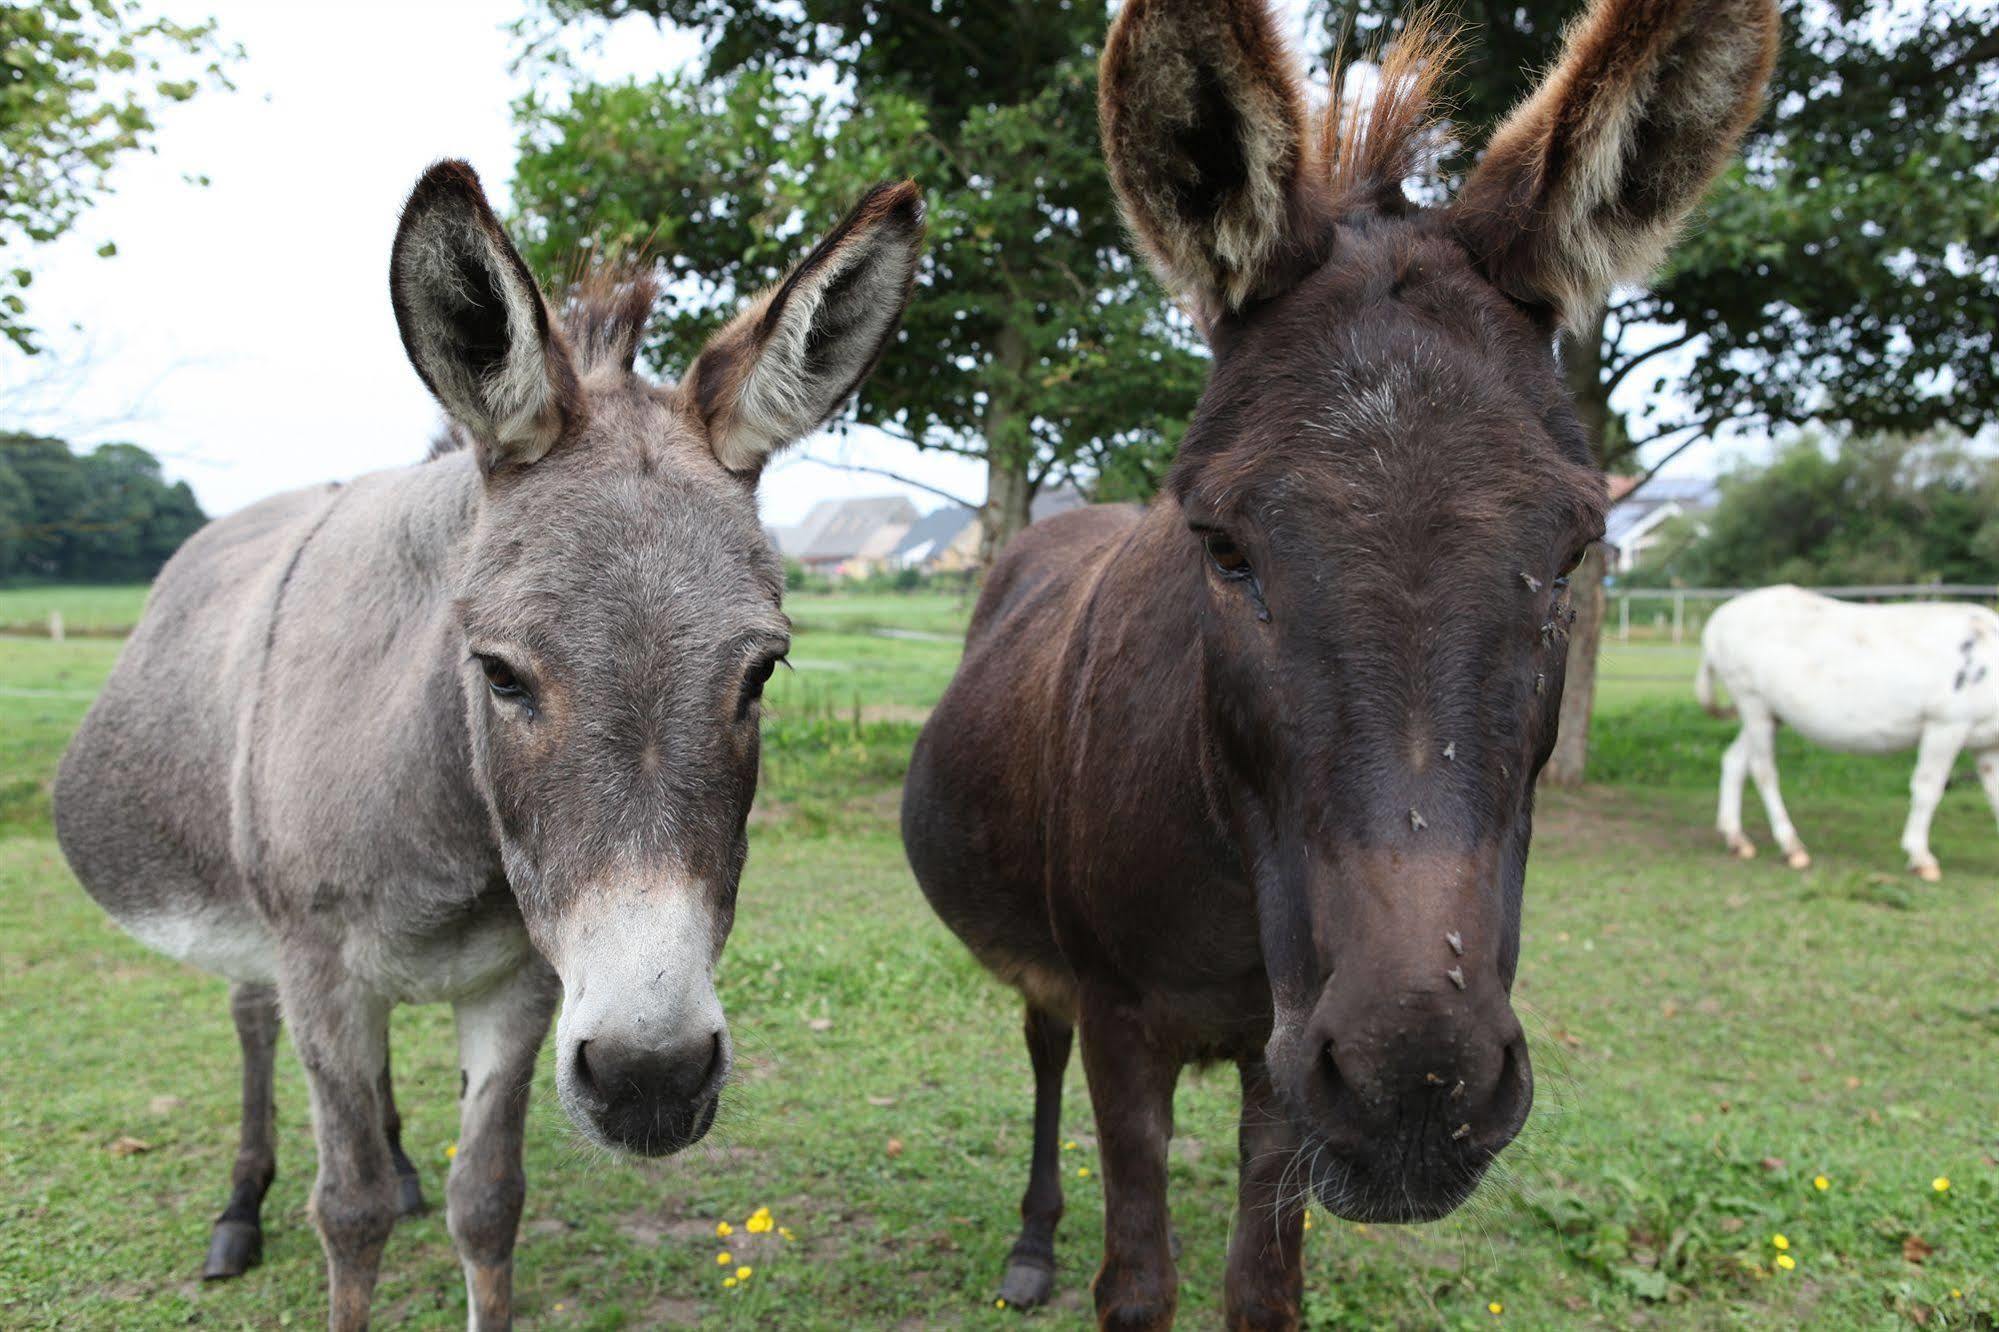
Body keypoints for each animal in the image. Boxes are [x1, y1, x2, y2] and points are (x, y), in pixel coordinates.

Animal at [1695, 584, 1999, 876]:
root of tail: (1717, 619)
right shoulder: (1946, 725)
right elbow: (1928, 788)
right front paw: (1921, 858)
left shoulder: (1987, 742)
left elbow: (1994, 792)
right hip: (1752, 701)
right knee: (1763, 771)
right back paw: (1791, 846)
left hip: (1770, 714)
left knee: (1734, 761)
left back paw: (1737, 839)